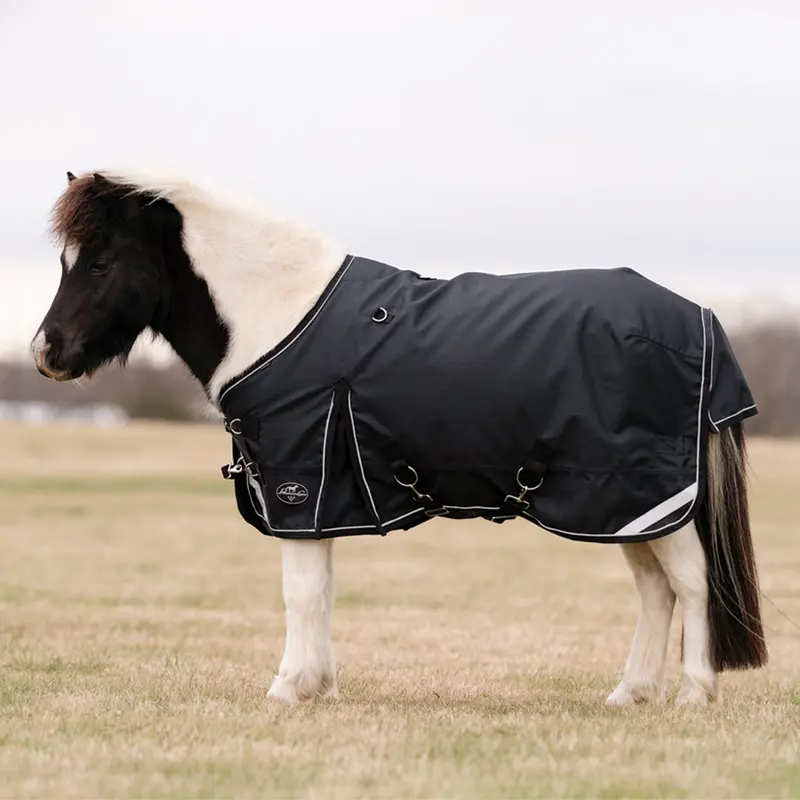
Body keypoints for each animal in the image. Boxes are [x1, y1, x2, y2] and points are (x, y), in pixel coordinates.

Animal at [31, 169, 767, 706]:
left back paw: (695, 695)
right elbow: (322, 590)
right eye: (68, 260)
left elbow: (300, 590)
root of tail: (699, 317)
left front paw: (287, 689)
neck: (278, 313)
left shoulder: (300, 485)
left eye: (100, 262)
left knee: (692, 583)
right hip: (619, 508)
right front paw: (318, 687)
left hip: (645, 497)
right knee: (656, 590)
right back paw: (630, 694)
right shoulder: (320, 502)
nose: (46, 352)